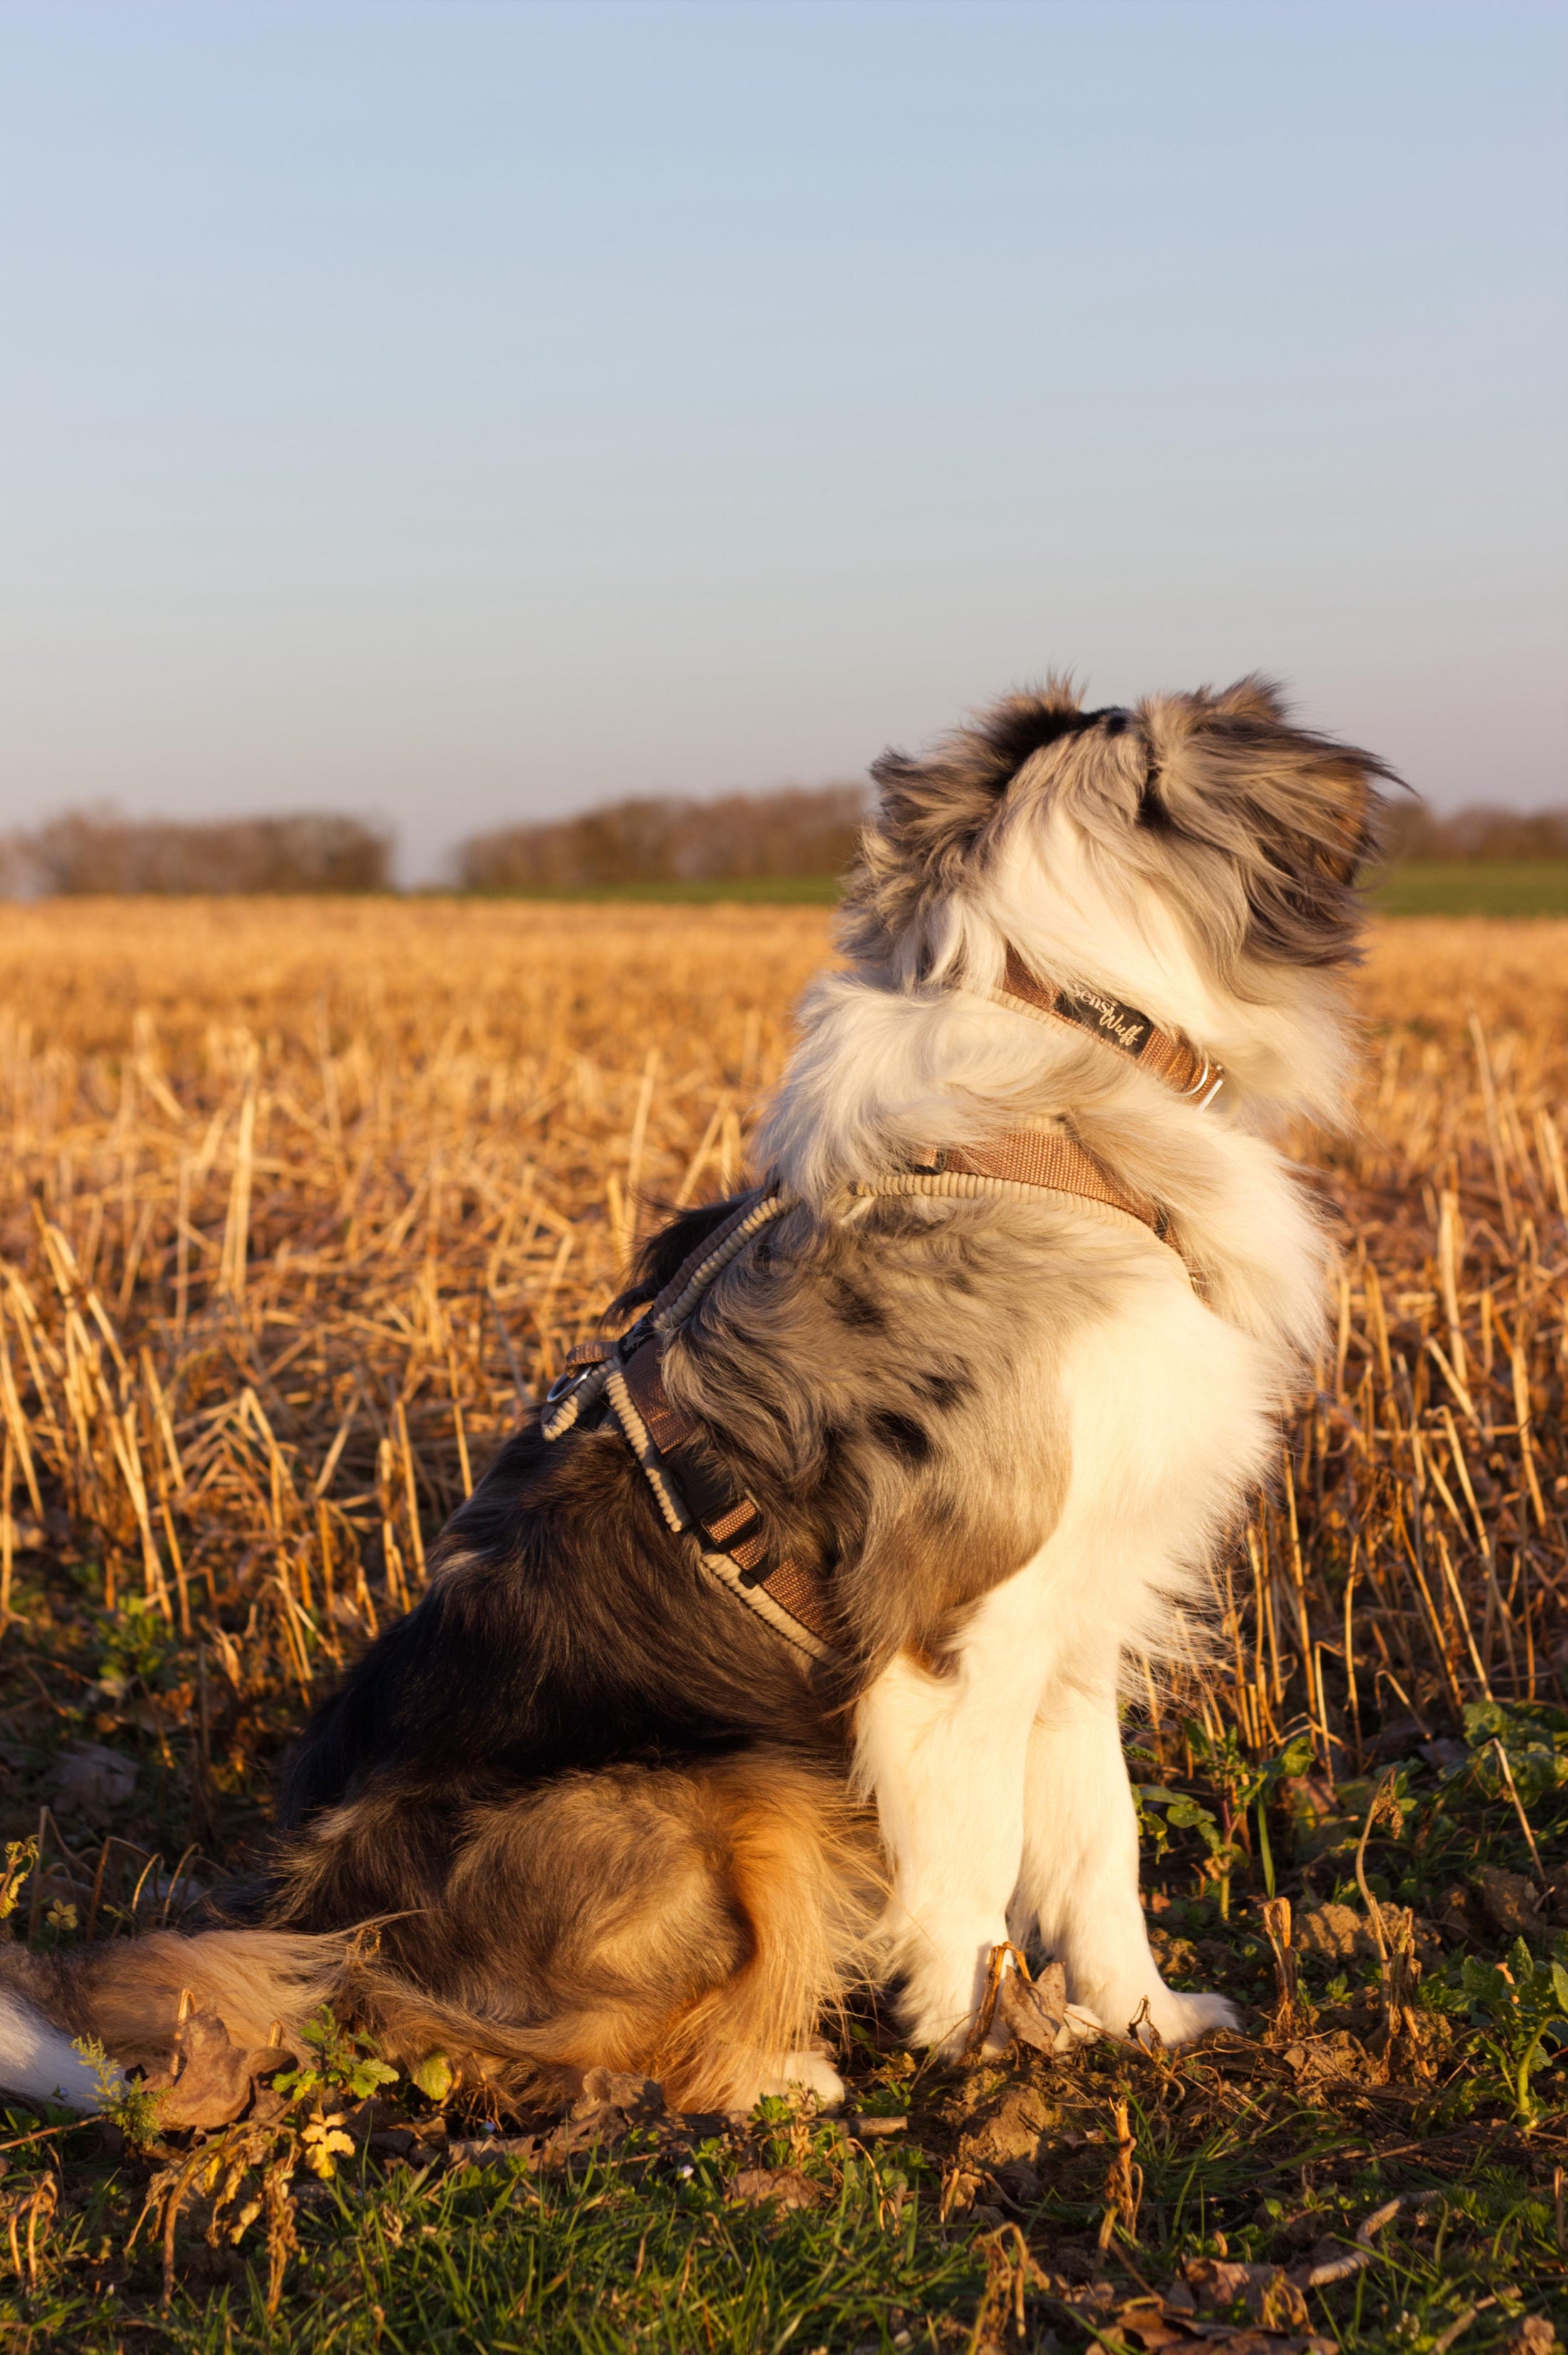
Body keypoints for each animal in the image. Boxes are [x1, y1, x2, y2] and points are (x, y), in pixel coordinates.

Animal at [0, 678, 1384, 2119]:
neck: (1055, 1073)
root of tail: (319, 1926)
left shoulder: (1078, 1605)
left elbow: (1095, 1845)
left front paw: (1145, 2019)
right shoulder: (956, 1630)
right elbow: (977, 1862)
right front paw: (982, 2039)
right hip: (734, 1787)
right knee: (531, 2044)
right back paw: (774, 2072)